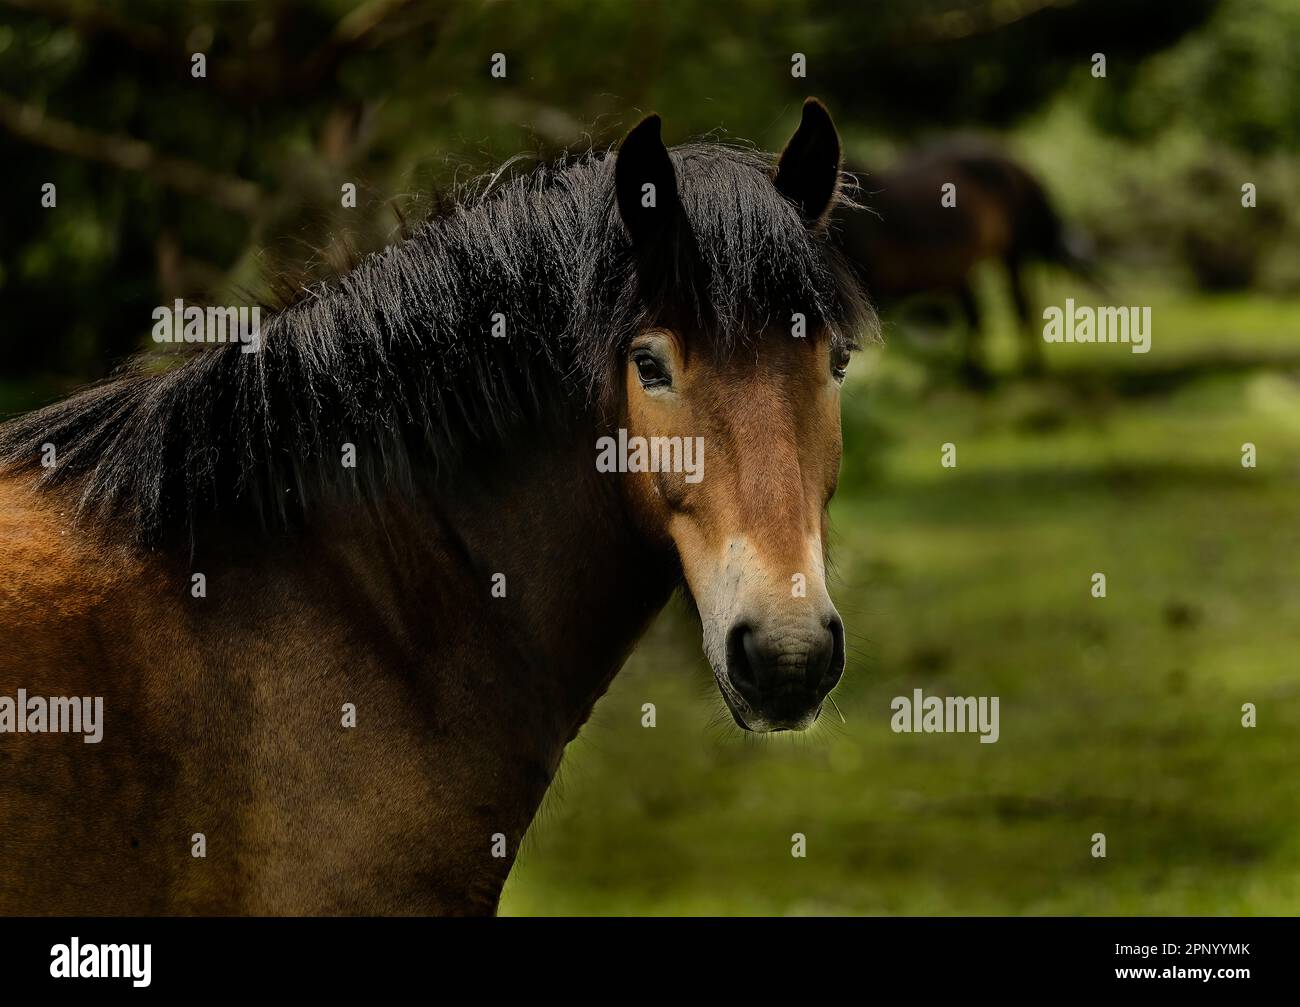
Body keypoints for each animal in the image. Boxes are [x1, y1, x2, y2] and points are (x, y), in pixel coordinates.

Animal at [832, 137, 1086, 382]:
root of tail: (1022, 167)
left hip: (1012, 256)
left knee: (1018, 306)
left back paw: (1022, 366)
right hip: (963, 271)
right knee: (978, 314)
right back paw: (977, 371)